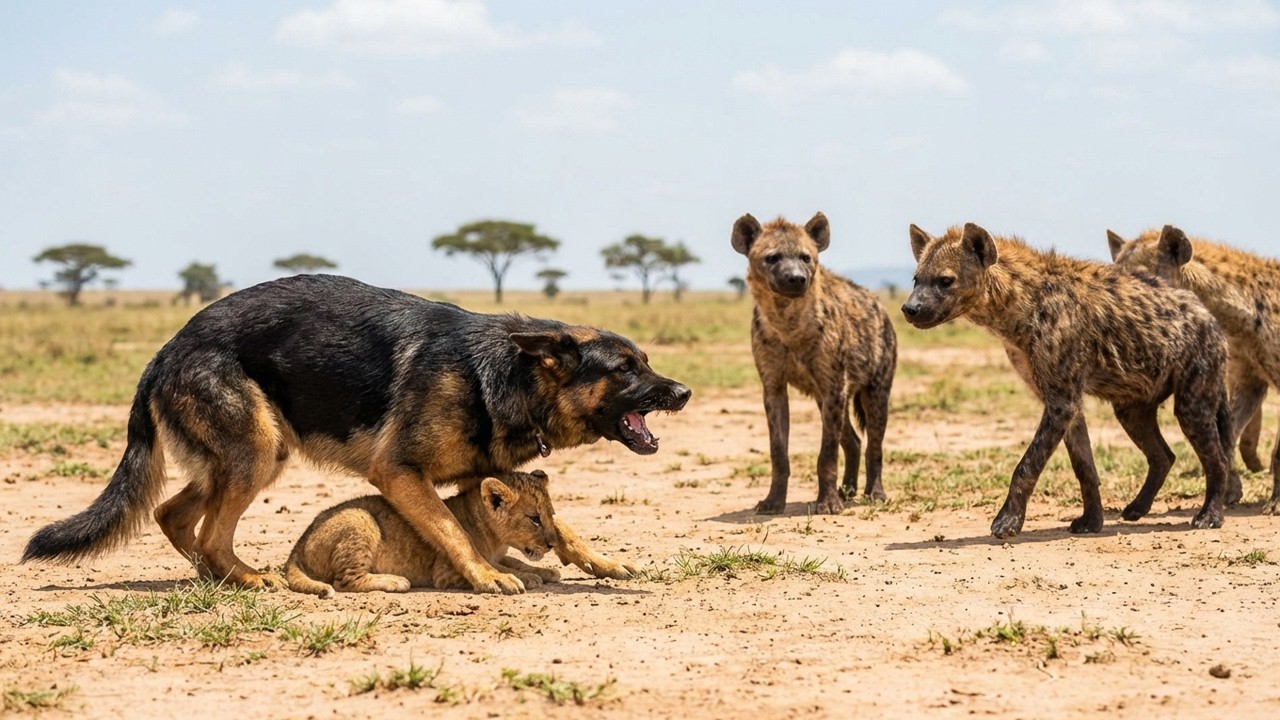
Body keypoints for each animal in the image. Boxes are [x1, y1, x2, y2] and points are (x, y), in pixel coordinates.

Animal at [285, 470, 561, 598]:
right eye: (534, 519)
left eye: (551, 514)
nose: (552, 544)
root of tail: (298, 544)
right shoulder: (446, 571)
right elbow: (499, 567)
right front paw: (526, 578)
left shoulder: (501, 554)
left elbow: (513, 561)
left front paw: (545, 571)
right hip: (360, 519)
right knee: (344, 581)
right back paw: (394, 581)